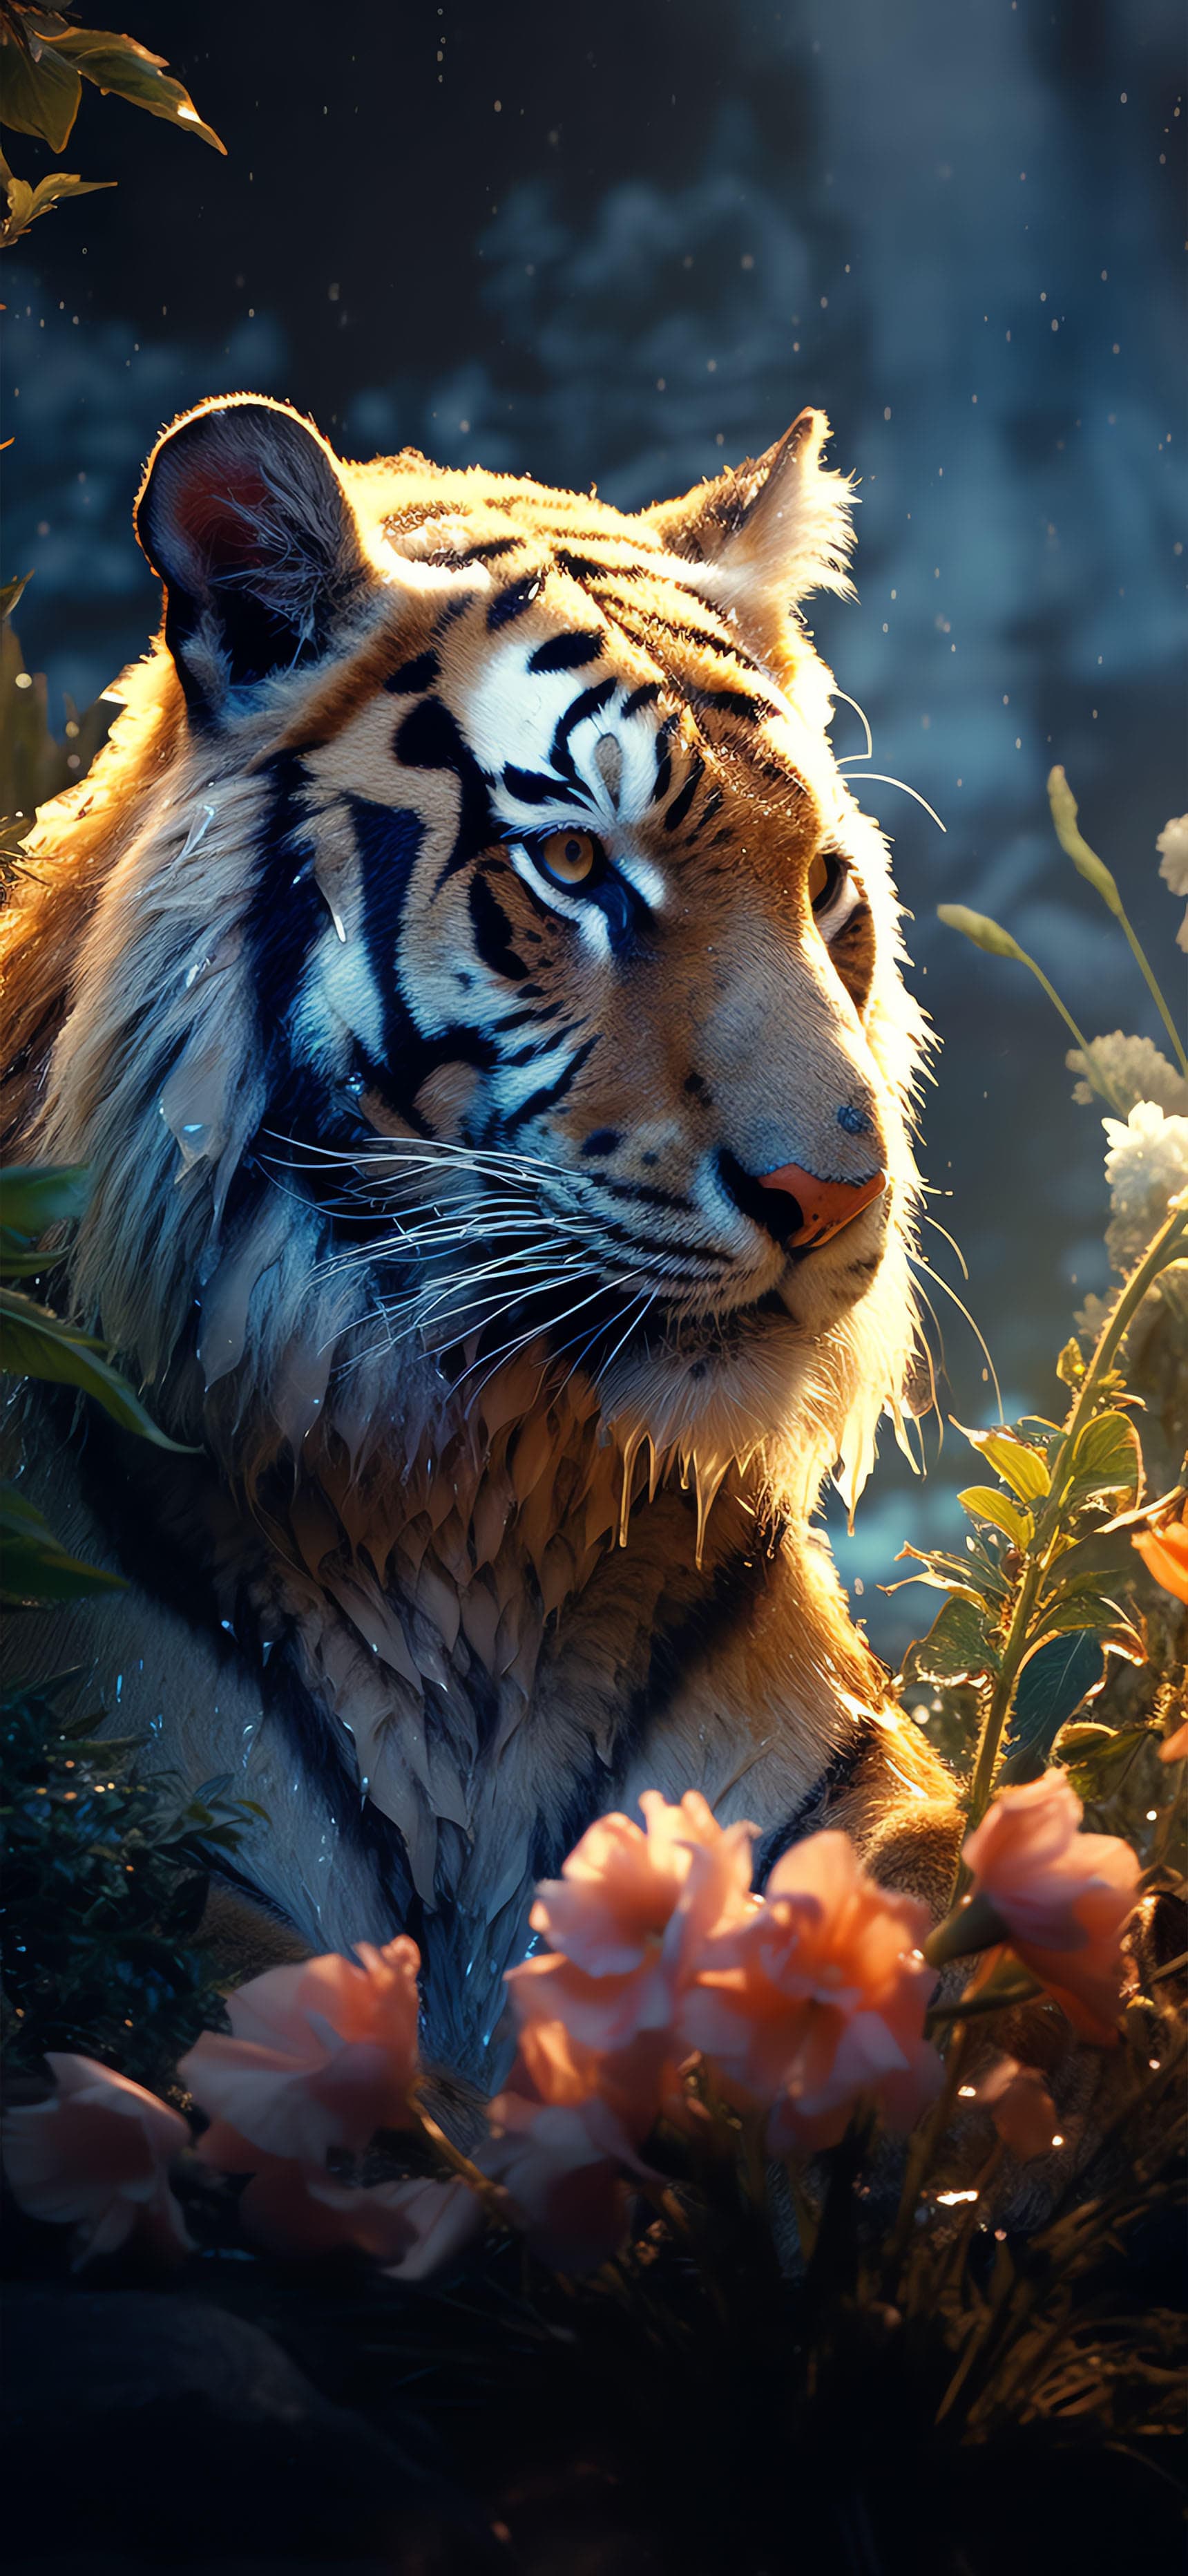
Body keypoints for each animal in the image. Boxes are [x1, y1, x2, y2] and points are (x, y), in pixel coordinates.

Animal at [1, 393, 958, 2083]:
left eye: (823, 887)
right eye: (573, 867)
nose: (838, 1195)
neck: (474, 1521)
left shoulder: (856, 1807)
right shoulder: (149, 1865)